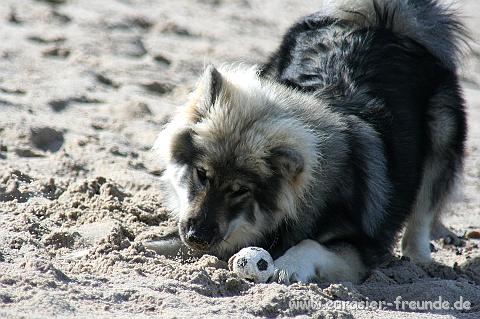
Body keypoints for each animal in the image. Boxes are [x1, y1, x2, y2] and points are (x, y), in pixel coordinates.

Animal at [149, 0, 464, 284]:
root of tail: (385, 21)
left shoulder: (361, 247)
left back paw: (419, 260)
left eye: (240, 191)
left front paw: (288, 265)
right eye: (202, 174)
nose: (197, 237)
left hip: (442, 134)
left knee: (423, 212)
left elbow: (309, 243)